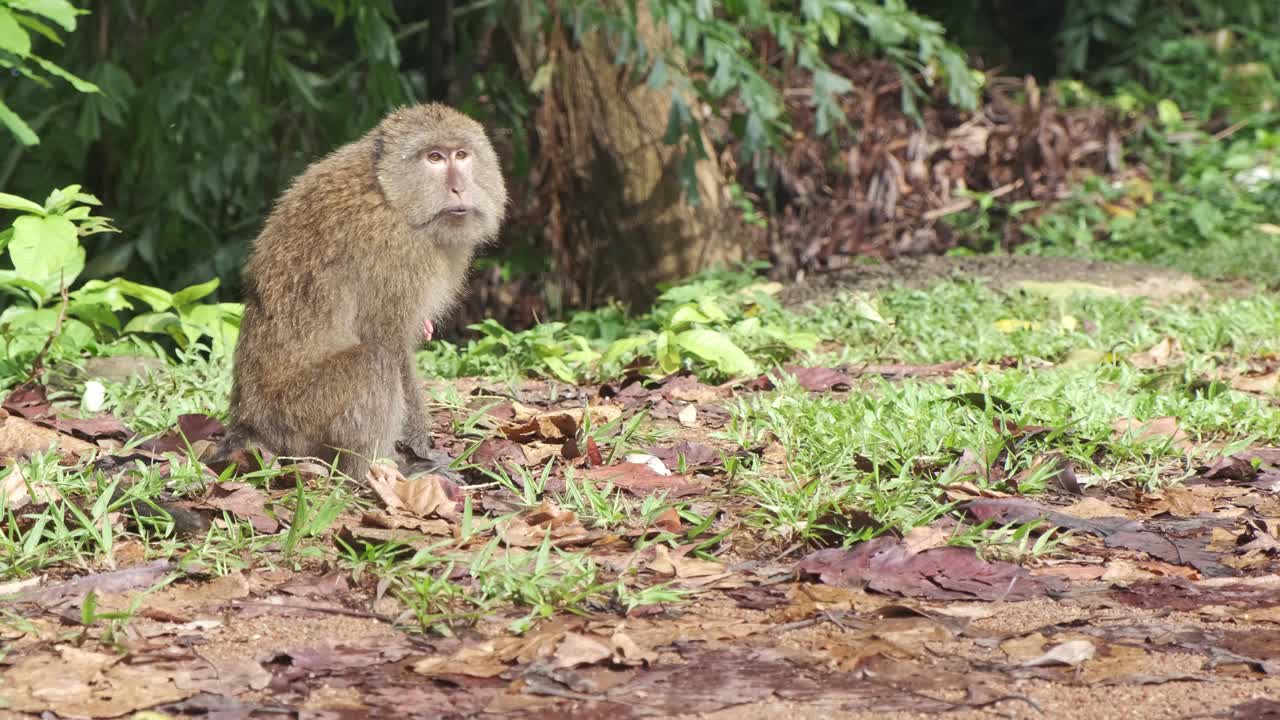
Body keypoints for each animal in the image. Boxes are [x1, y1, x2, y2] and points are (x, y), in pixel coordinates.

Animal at [214, 103, 507, 485]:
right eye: (434, 158)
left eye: (461, 154)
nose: (458, 188)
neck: (389, 193)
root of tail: (248, 423)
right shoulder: (394, 252)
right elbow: (390, 342)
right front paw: (421, 450)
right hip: (295, 419)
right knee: (374, 362)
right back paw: (371, 473)